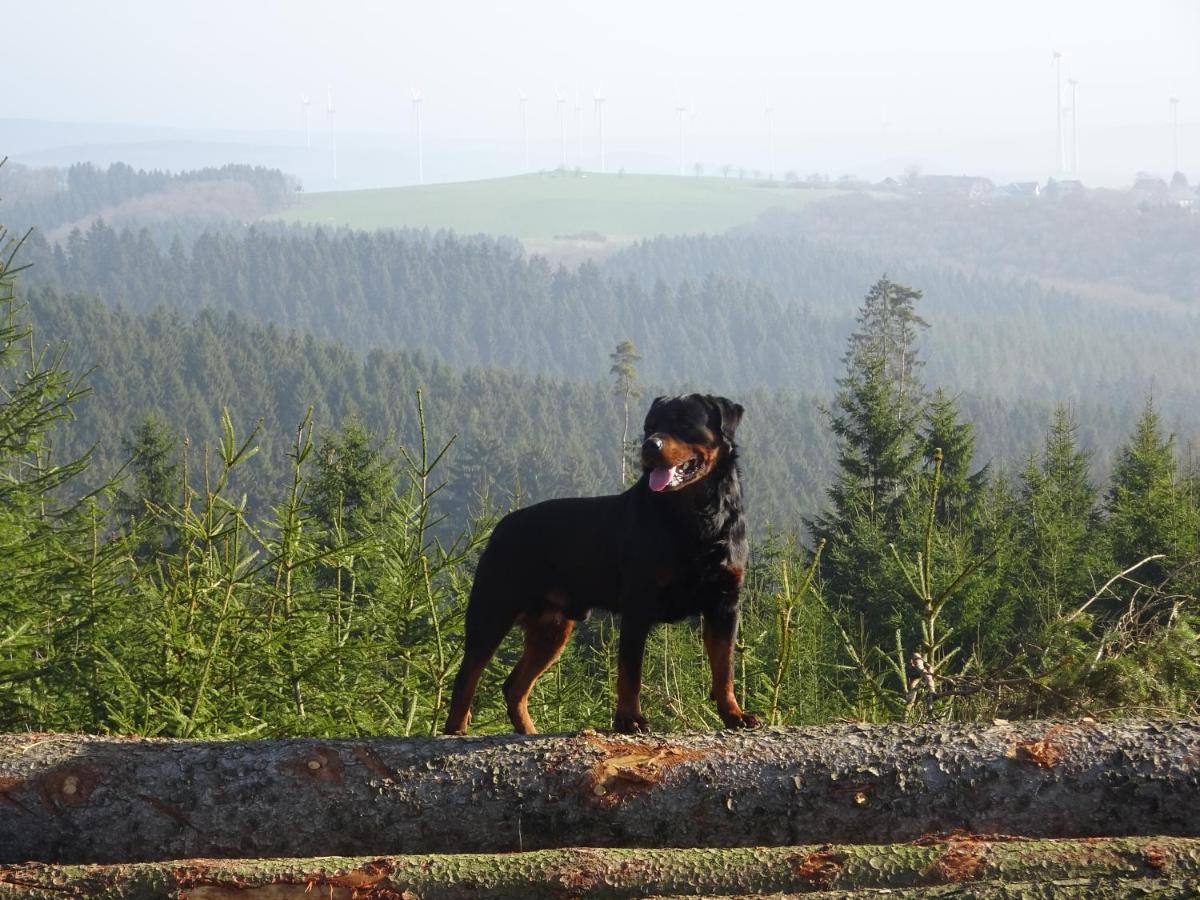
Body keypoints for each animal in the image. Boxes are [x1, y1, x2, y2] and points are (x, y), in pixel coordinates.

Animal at [446, 393, 753, 734]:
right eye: (650, 427)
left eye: (685, 424)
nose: (650, 445)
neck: (697, 516)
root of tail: (501, 525)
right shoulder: (638, 603)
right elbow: (630, 672)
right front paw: (630, 719)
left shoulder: (724, 603)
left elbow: (724, 668)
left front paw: (734, 715)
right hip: (493, 610)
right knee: (466, 676)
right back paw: (455, 730)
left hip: (552, 628)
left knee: (514, 685)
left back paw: (527, 730)